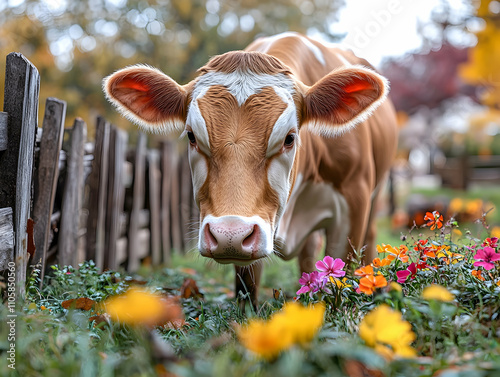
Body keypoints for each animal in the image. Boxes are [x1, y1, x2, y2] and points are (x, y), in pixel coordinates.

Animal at [104, 32, 398, 306]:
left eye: (290, 138)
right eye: (191, 136)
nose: (230, 235)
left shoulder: (353, 202)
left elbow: (342, 278)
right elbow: (247, 290)